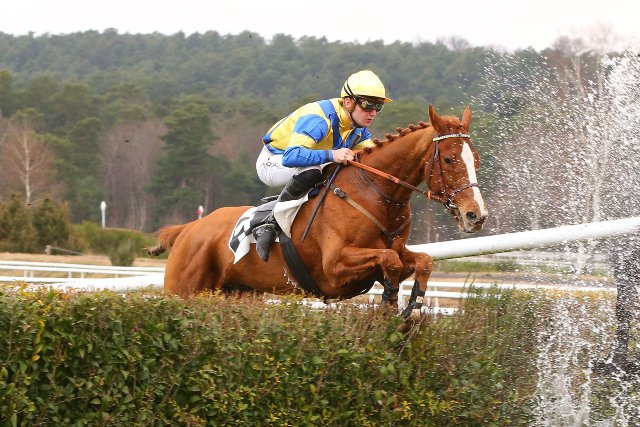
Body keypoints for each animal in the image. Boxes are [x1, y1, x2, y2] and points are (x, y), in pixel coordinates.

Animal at [148, 105, 488, 318]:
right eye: (448, 159)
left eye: (476, 159)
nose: (476, 215)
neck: (372, 191)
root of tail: (188, 229)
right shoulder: (334, 268)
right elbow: (389, 260)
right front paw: (391, 297)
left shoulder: (398, 249)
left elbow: (422, 260)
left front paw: (410, 302)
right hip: (182, 292)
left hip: (240, 292)